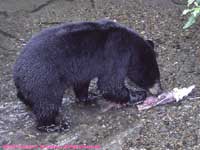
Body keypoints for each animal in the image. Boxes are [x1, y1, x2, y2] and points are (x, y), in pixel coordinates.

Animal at [12, 19, 162, 132]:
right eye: (153, 76)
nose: (159, 91)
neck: (130, 44)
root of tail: (17, 73)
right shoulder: (116, 54)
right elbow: (110, 83)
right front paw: (137, 95)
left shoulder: (83, 68)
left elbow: (82, 82)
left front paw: (89, 96)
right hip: (44, 79)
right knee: (48, 102)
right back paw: (53, 125)